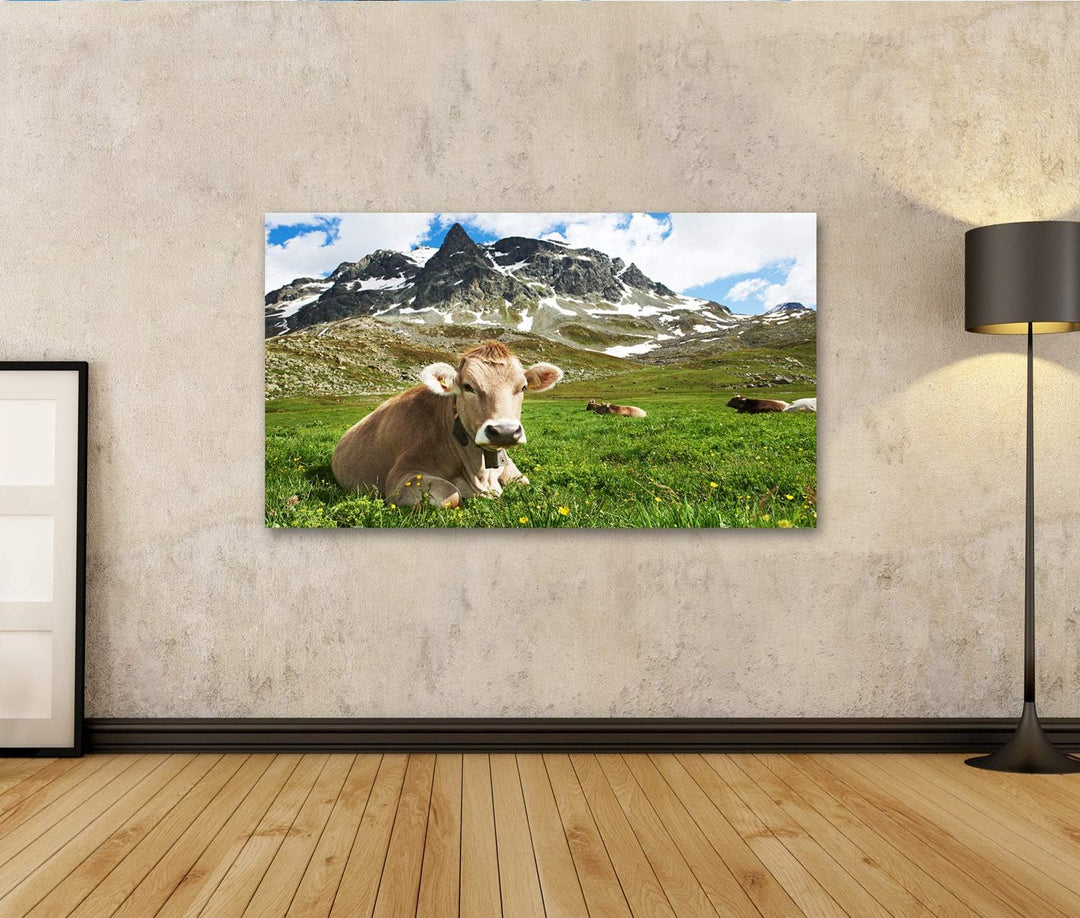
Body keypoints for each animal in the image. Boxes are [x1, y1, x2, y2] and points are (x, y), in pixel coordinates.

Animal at [331, 341, 563, 508]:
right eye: (468, 386)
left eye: (523, 387)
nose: (504, 431)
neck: (479, 474)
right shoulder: (399, 477)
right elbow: (451, 494)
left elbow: (524, 482)